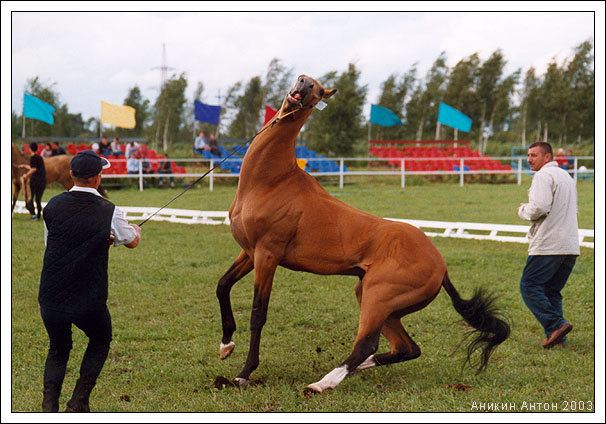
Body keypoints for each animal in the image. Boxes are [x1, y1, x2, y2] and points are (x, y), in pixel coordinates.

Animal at [216, 74, 510, 392]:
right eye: (302, 78)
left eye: (320, 90)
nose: (304, 86)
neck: (272, 180)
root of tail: (441, 266)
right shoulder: (249, 252)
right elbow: (223, 286)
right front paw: (226, 345)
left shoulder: (267, 256)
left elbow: (258, 313)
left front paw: (244, 373)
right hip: (382, 305)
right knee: (407, 348)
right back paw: (355, 370)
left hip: (376, 298)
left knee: (367, 343)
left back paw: (322, 383)